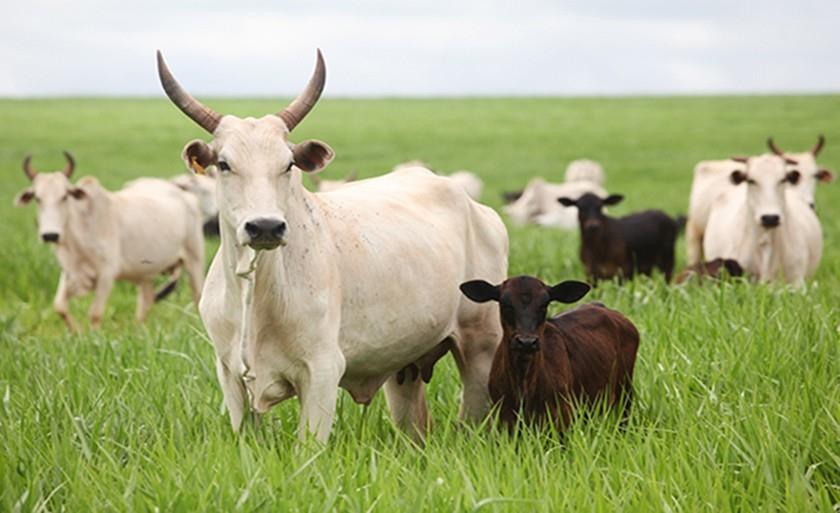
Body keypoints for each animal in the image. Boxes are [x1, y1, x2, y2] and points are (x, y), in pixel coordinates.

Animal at [13, 152, 204, 328]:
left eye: (64, 196)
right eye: (37, 198)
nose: (50, 235)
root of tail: (184, 194)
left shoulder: (107, 273)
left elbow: (95, 313)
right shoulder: (71, 273)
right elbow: (59, 306)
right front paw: (77, 333)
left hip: (194, 260)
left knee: (197, 297)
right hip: (145, 273)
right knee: (146, 301)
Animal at [155, 49, 508, 440]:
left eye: (288, 164)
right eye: (223, 163)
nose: (265, 227)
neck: (257, 291)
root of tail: (476, 207)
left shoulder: (322, 372)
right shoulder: (230, 376)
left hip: (481, 346)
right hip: (405, 369)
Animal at [460, 276, 636, 432]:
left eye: (544, 304)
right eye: (505, 304)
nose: (527, 342)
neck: (524, 382)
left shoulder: (562, 417)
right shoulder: (504, 417)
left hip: (624, 395)